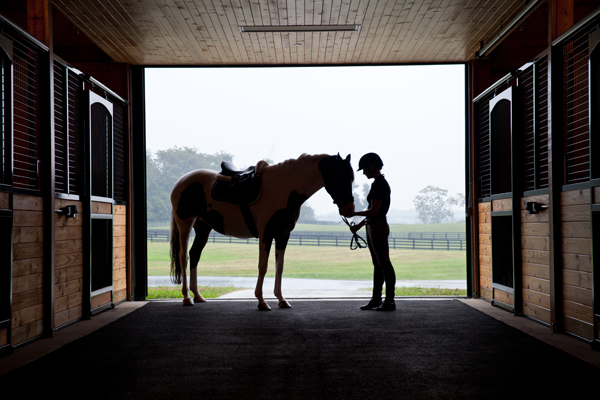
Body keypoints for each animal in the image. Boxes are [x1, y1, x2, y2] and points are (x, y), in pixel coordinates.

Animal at [168, 153, 356, 310]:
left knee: (194, 255)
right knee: (184, 257)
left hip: (203, 228)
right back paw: (186, 298)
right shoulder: (266, 234)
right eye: (339, 177)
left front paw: (281, 299)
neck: (283, 188)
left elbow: (279, 266)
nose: (349, 209)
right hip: (185, 224)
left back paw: (197, 295)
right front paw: (261, 301)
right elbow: (263, 266)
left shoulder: (282, 235)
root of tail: (182, 181)